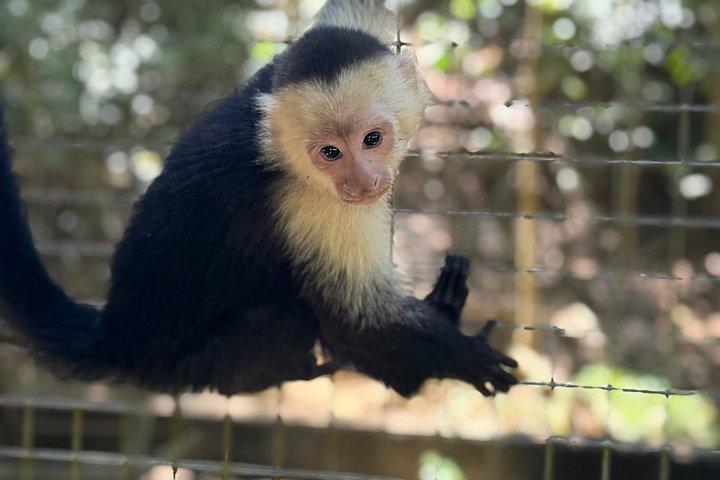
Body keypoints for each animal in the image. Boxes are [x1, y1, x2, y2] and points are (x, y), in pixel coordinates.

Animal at [0, 0, 517, 398]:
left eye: (372, 140)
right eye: (331, 153)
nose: (362, 181)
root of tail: (116, 339)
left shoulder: (283, 69)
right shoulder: (313, 201)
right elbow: (358, 322)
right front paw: (466, 356)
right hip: (195, 364)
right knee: (289, 319)